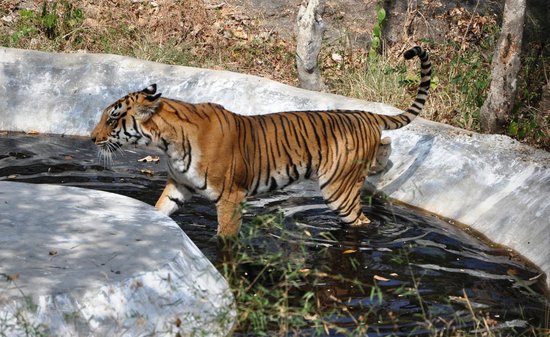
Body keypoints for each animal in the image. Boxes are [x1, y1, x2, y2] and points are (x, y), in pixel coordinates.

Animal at [92, 46, 434, 236]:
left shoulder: (231, 198)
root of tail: (366, 114)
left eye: (112, 118)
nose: (93, 138)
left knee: (361, 222)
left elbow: (225, 238)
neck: (167, 144)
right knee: (384, 149)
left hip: (340, 190)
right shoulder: (179, 186)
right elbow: (160, 209)